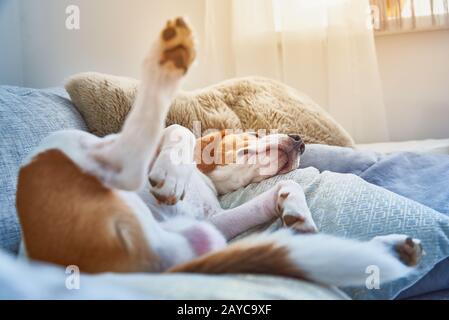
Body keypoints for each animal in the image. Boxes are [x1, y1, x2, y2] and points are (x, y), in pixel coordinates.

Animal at [15, 17, 422, 288]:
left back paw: (390, 249)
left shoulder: (214, 222)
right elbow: (178, 129)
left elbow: (284, 189)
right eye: (254, 132)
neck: (203, 178)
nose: (300, 140)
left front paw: (296, 209)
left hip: (194, 240)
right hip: (59, 148)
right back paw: (167, 58)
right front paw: (172, 171)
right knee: (123, 163)